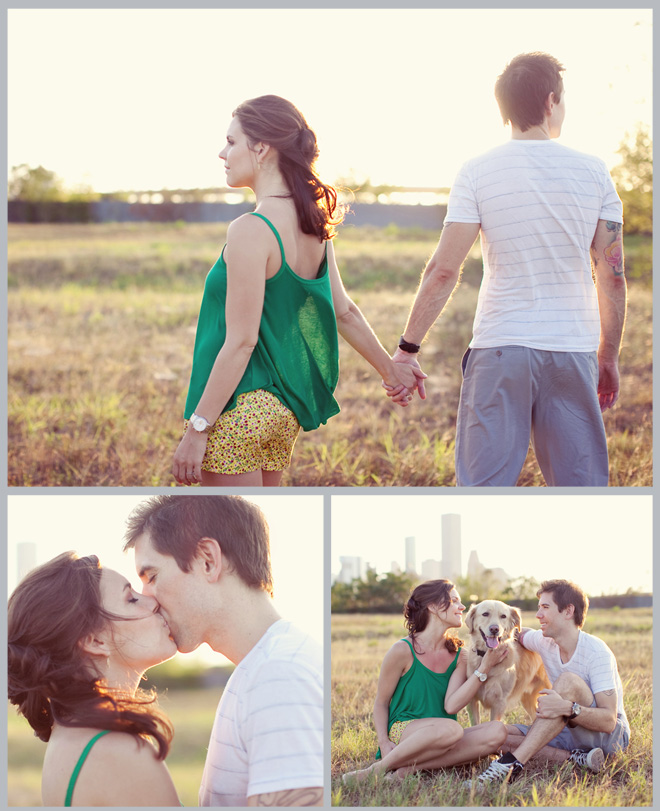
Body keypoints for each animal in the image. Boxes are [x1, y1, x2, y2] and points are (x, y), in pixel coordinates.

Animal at [464, 600, 552, 728]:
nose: (494, 629)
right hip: (527, 699)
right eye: (485, 614)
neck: (486, 657)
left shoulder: (499, 703)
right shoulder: (471, 702)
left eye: (503, 616)